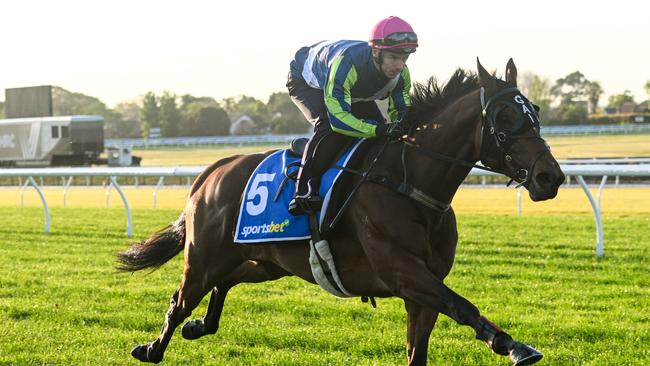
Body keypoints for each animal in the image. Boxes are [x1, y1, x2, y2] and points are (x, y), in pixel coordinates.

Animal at [120, 58, 560, 364]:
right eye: (505, 116)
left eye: (535, 111)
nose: (549, 177)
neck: (409, 182)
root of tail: (209, 173)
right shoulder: (402, 271)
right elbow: (464, 306)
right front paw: (514, 346)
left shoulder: (422, 291)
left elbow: (421, 345)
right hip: (204, 258)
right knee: (180, 299)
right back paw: (152, 349)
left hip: (268, 260)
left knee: (226, 281)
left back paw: (199, 327)